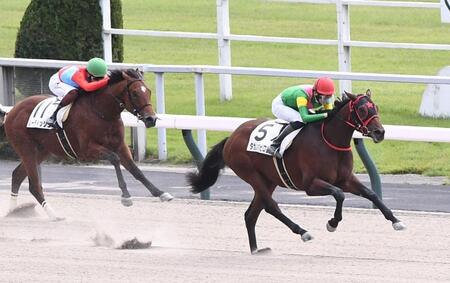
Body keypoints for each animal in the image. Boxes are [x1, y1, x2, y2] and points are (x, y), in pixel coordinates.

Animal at [188, 90, 406, 255]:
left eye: (376, 107)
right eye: (361, 109)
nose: (380, 132)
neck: (330, 141)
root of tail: (231, 137)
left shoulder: (345, 179)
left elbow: (371, 194)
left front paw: (396, 221)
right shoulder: (311, 185)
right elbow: (339, 194)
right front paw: (332, 223)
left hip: (268, 179)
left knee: (251, 214)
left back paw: (256, 249)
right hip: (251, 174)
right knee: (271, 207)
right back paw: (303, 232)